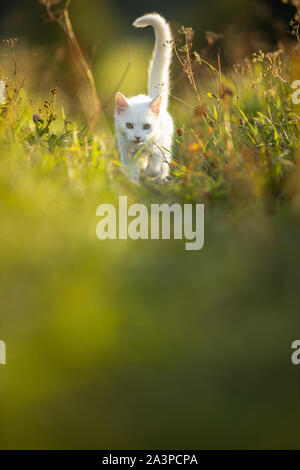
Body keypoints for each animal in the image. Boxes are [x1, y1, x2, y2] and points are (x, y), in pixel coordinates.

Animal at [114, 12, 173, 182]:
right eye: (129, 125)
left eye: (147, 126)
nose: (138, 137)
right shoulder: (126, 152)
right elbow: (131, 173)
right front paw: (134, 183)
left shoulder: (160, 147)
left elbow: (155, 166)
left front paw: (149, 173)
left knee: (163, 166)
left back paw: (160, 180)